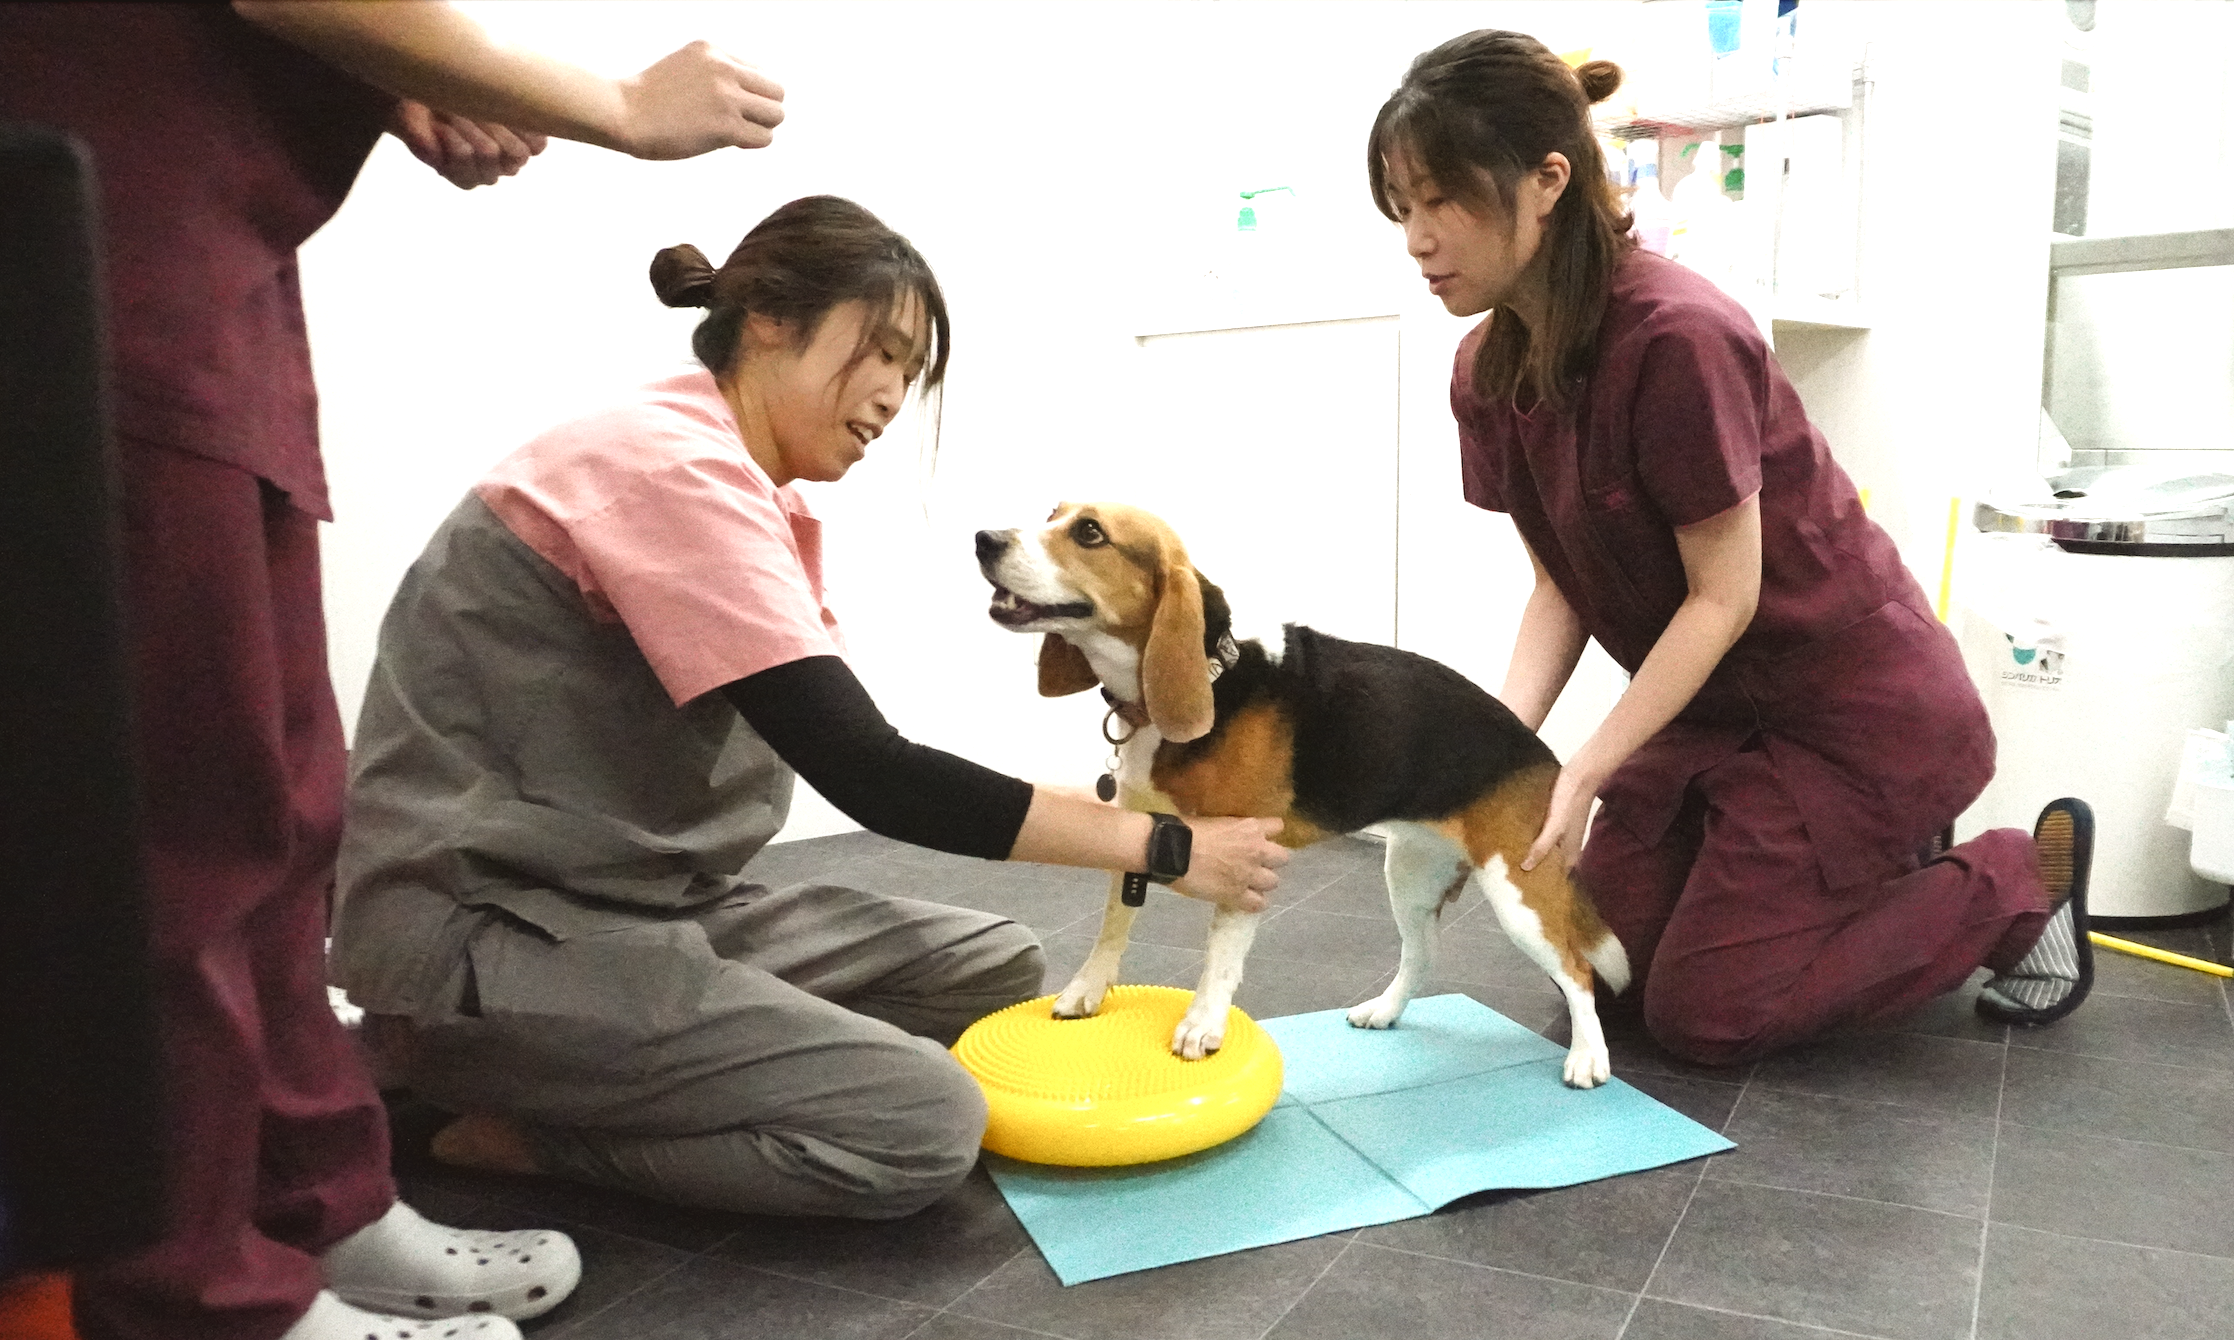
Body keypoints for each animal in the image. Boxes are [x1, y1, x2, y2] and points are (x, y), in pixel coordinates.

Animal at [969, 502, 1635, 1089]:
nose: (983, 539)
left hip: (1519, 893)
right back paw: (1385, 1009)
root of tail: (1541, 754)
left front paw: (1202, 1024)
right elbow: (1113, 925)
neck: (1210, 679)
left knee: (1578, 971)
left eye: (1089, 532)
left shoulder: (1246, 854)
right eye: (1051, 514)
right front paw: (1087, 989)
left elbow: (1220, 955)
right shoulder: (1139, 833)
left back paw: (1587, 1057)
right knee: (1422, 953)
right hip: (1410, 873)